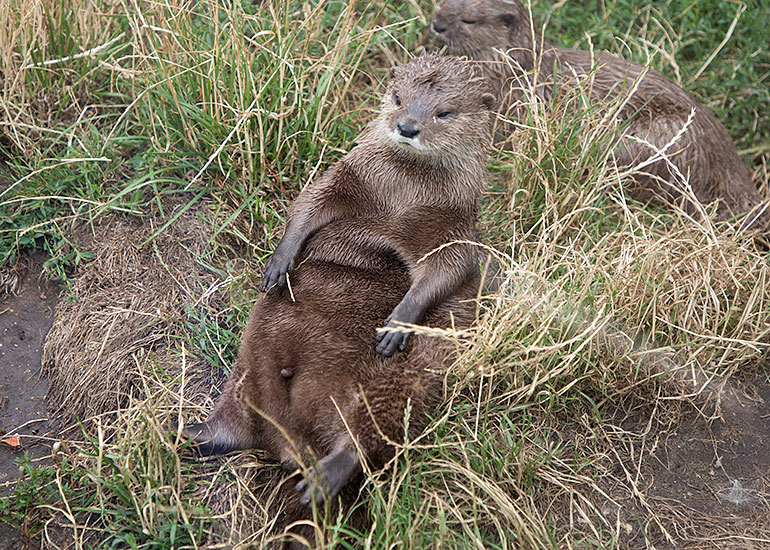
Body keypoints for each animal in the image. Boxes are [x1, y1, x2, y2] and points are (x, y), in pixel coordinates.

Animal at [260, 54, 496, 357]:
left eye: (444, 113)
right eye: (397, 98)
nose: (407, 127)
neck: (401, 197)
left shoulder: (453, 225)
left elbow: (450, 268)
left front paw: (400, 322)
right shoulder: (350, 177)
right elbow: (309, 201)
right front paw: (280, 261)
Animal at [430, 0, 765, 225]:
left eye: (469, 20)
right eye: (444, 2)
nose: (437, 24)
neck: (512, 70)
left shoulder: (512, 106)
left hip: (654, 139)